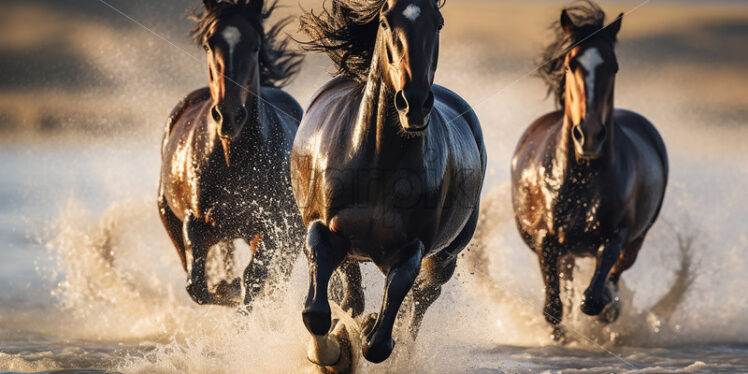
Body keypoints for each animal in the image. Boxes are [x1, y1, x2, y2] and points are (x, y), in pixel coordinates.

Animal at [157, 0, 304, 306]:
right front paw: (227, 288)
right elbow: (198, 288)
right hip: (169, 215)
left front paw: (235, 289)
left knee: (278, 282)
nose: (229, 116)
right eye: (208, 44)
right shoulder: (196, 222)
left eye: (255, 46)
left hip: (291, 237)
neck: (233, 159)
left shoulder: (271, 229)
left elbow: (253, 281)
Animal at [290, 0, 488, 366]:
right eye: (386, 21)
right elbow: (316, 312)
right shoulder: (325, 229)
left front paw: (365, 338)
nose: (413, 103)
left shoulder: (411, 249)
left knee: (419, 302)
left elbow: (381, 339)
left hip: (444, 258)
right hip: (352, 252)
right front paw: (331, 351)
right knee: (352, 295)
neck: (377, 160)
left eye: (438, 22)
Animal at [512, 0, 668, 340]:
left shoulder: (618, 233)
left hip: (636, 241)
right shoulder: (547, 238)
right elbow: (554, 306)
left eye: (614, 66)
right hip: (569, 252)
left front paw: (603, 307)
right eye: (572, 64)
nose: (590, 136)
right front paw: (561, 335)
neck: (580, 180)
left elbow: (596, 294)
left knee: (612, 275)